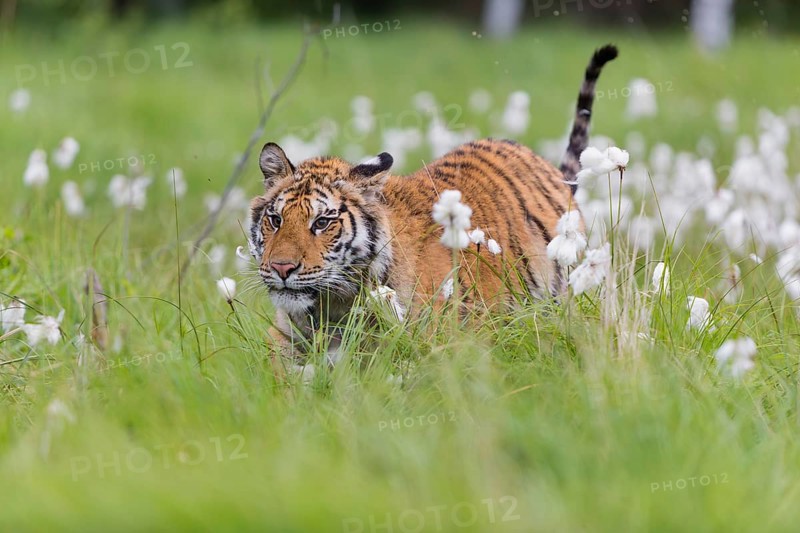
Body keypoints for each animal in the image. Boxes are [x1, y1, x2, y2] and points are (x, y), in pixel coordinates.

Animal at [249, 44, 618, 361]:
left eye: (321, 223)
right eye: (276, 220)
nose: (282, 268)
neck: (334, 304)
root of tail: (547, 167)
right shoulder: (286, 337)